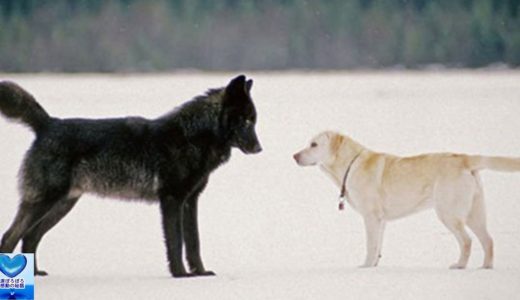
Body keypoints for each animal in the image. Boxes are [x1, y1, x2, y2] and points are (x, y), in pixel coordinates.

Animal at [0, 75, 260, 276]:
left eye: (254, 120)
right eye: (246, 120)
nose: (259, 148)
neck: (192, 137)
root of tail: (48, 124)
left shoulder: (190, 201)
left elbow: (194, 242)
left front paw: (200, 273)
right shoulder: (172, 200)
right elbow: (176, 242)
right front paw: (180, 275)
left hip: (63, 205)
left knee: (30, 237)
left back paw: (34, 274)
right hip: (45, 201)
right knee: (10, 237)